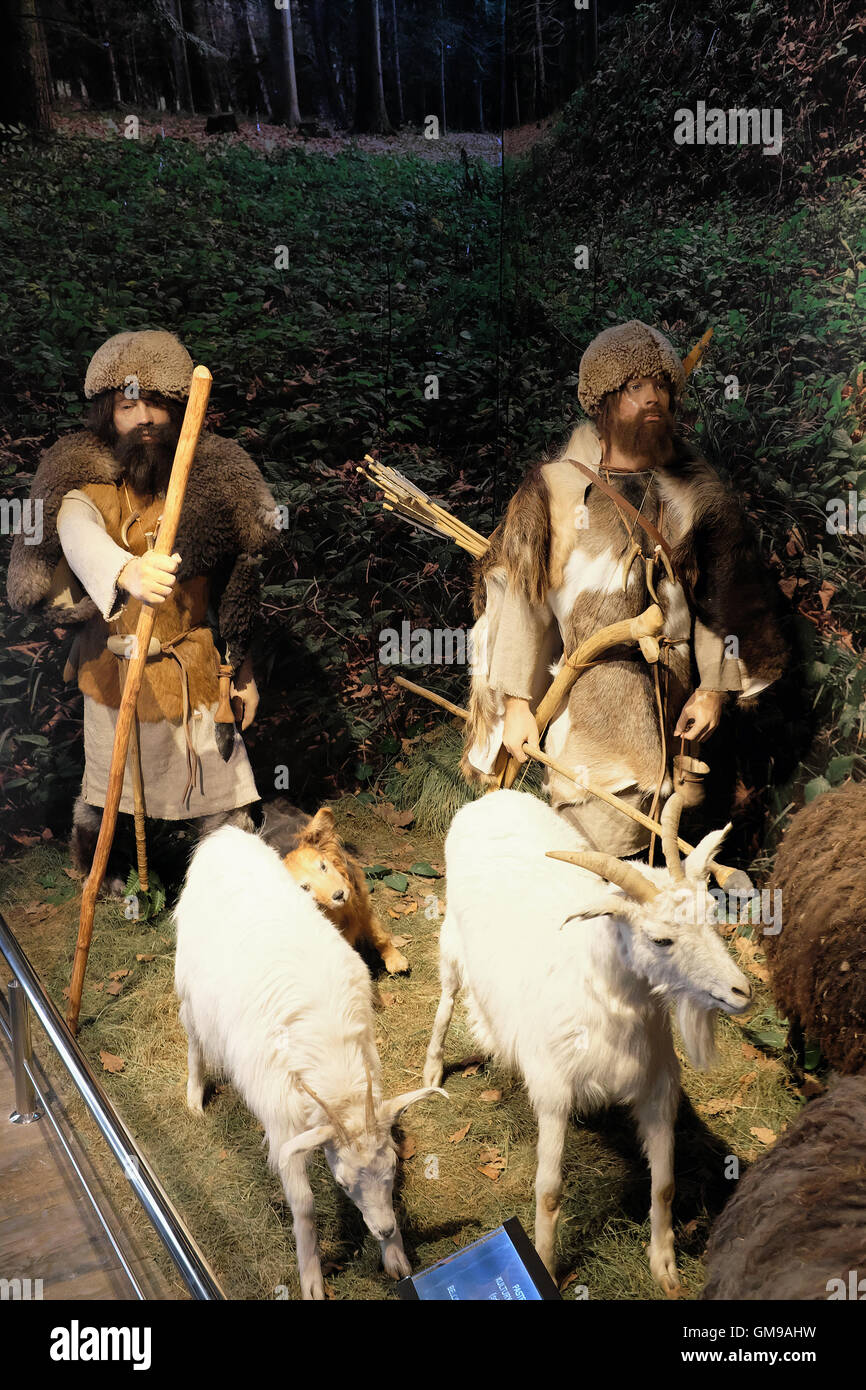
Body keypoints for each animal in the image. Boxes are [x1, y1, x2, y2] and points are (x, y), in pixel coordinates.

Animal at [268, 806, 408, 978]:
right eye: (304, 887)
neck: (342, 911)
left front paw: (395, 960)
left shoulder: (363, 906)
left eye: (323, 866)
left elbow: (379, 936)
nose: (339, 895)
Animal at [425, 795, 750, 1289]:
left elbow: (664, 1184)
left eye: (711, 916)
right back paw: (431, 1069)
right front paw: (544, 1263)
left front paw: (664, 1264)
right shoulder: (553, 1091)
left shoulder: (658, 1086)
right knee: (445, 998)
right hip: (451, 945)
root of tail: (493, 797)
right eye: (660, 939)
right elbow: (549, 1193)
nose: (740, 992)